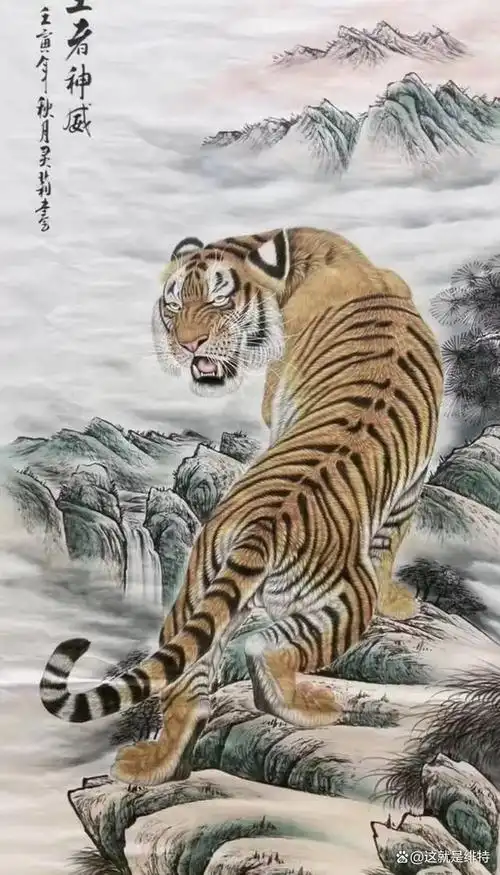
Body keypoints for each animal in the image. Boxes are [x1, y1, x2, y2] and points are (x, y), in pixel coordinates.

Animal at [39, 227, 443, 787]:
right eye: (173, 304)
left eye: (217, 298)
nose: (185, 343)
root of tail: (263, 525)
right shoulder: (406, 490)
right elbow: (386, 549)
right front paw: (400, 600)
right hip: (344, 596)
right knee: (267, 648)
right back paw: (313, 706)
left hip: (193, 596)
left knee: (188, 687)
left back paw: (149, 765)